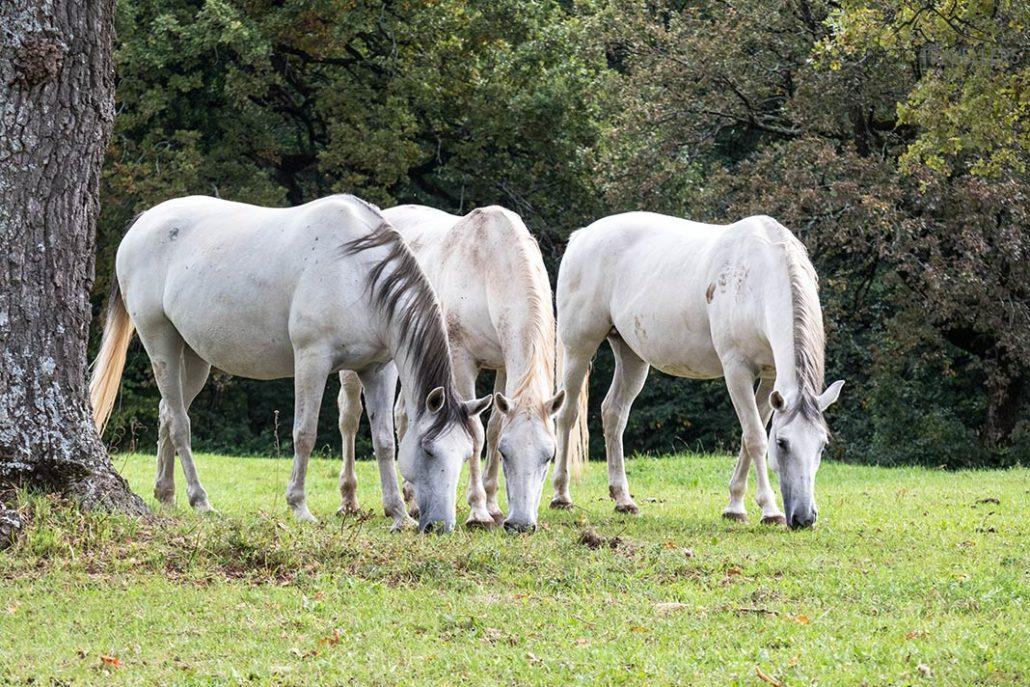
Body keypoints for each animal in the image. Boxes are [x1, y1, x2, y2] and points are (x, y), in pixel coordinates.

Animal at [89, 194, 491, 533]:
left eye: (466, 453)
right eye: (429, 449)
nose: (439, 526)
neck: (357, 272)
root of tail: (144, 222)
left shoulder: (379, 370)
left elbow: (384, 443)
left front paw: (398, 514)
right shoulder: (312, 360)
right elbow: (305, 433)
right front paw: (299, 506)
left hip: (193, 358)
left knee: (167, 413)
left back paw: (166, 492)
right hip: (161, 343)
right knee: (181, 424)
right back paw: (200, 499)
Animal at [338, 205, 587, 532]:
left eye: (549, 456)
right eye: (506, 453)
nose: (521, 524)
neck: (490, 266)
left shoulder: (503, 365)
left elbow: (494, 427)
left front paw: (493, 505)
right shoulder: (461, 361)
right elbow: (477, 433)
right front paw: (478, 511)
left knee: (403, 414)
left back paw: (412, 500)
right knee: (349, 417)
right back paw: (349, 500)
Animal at [550, 212, 844, 529]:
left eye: (822, 444)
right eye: (783, 442)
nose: (804, 518)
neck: (760, 276)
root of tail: (583, 235)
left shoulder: (769, 376)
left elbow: (746, 437)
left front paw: (734, 506)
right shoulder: (737, 370)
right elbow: (755, 437)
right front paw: (769, 509)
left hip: (632, 356)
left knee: (613, 414)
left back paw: (623, 499)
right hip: (578, 348)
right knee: (567, 415)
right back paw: (561, 496)